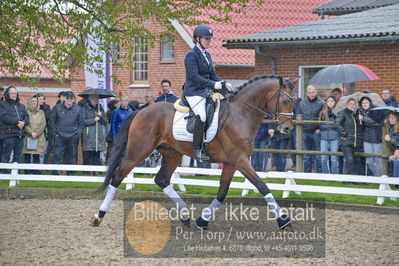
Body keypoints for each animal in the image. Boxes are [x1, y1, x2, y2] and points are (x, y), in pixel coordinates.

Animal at [92, 75, 296, 231]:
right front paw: (284, 221)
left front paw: (202, 221)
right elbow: (262, 186)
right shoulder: (240, 160)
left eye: (294, 101)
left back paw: (185, 216)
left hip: (172, 153)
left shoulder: (231, 163)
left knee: (162, 179)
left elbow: (222, 193)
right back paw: (99, 215)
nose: (287, 129)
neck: (240, 115)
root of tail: (141, 110)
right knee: (118, 176)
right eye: (285, 101)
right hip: (139, 151)